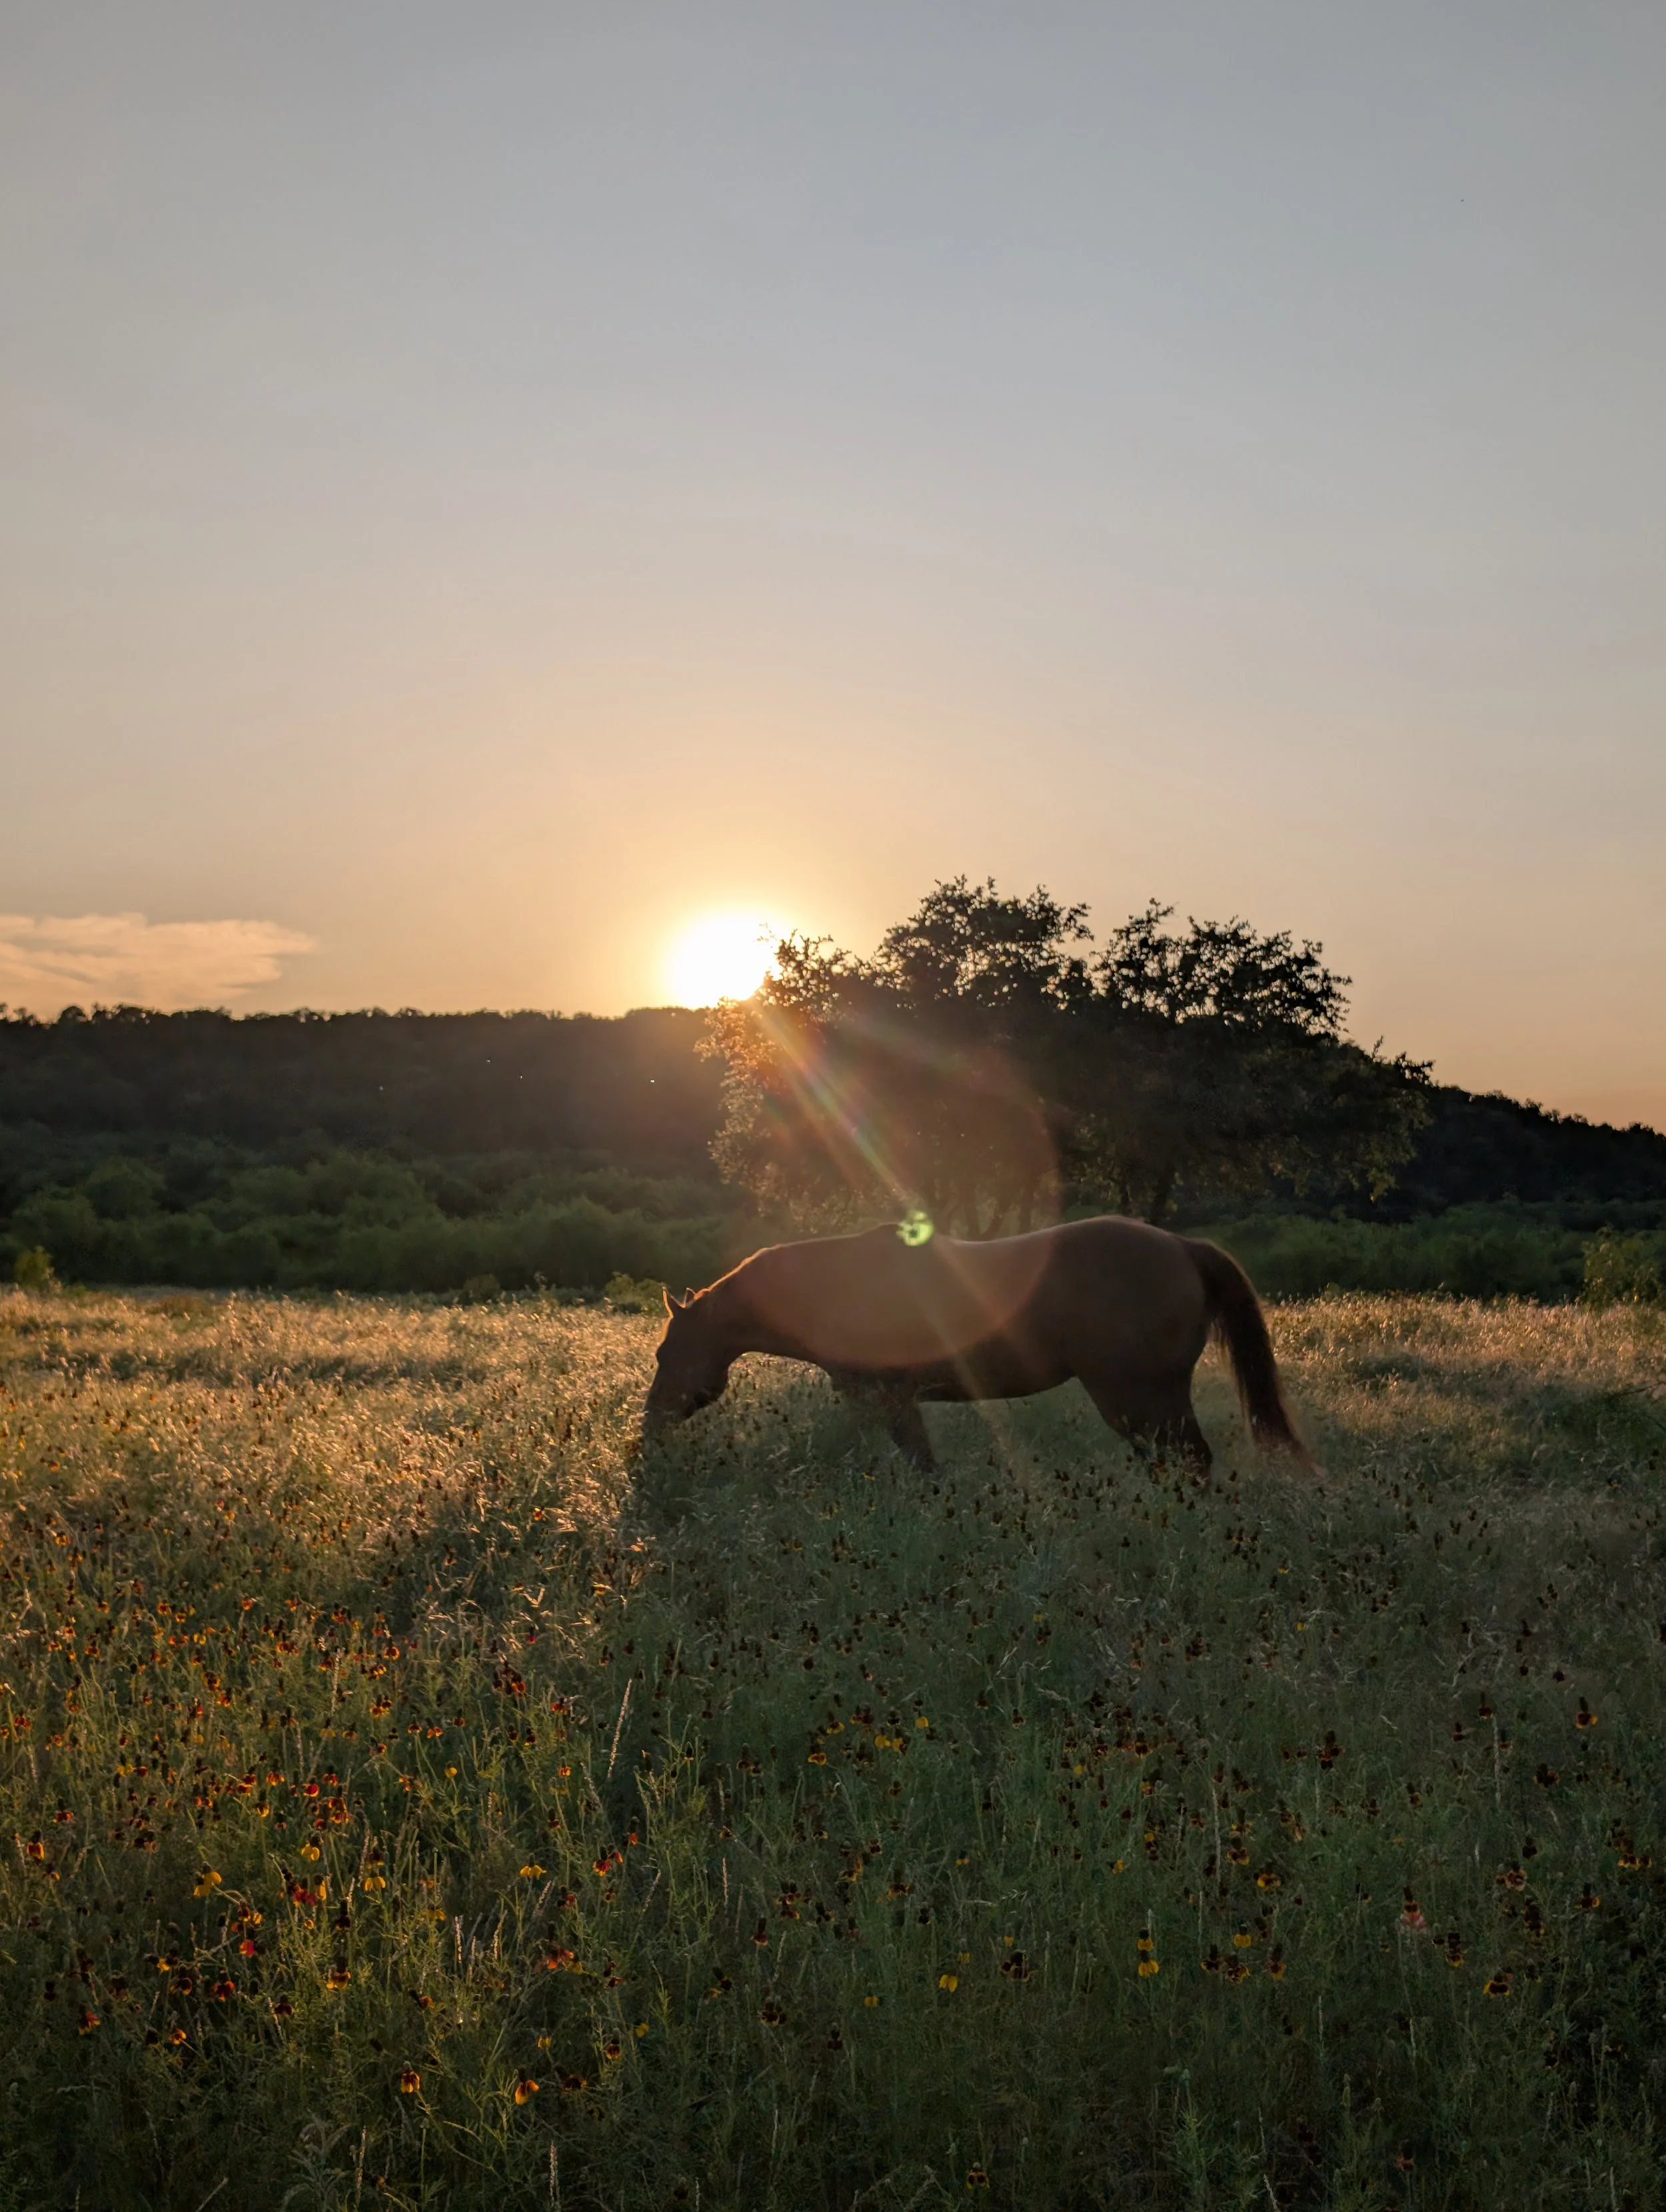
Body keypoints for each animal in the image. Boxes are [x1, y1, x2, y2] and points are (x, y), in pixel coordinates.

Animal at [642, 1215, 1309, 1470]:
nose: (649, 1428)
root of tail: (1181, 1247)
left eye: (666, 1353)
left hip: (1141, 1401)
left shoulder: (887, 1398)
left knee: (1189, 1462)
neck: (840, 1286)